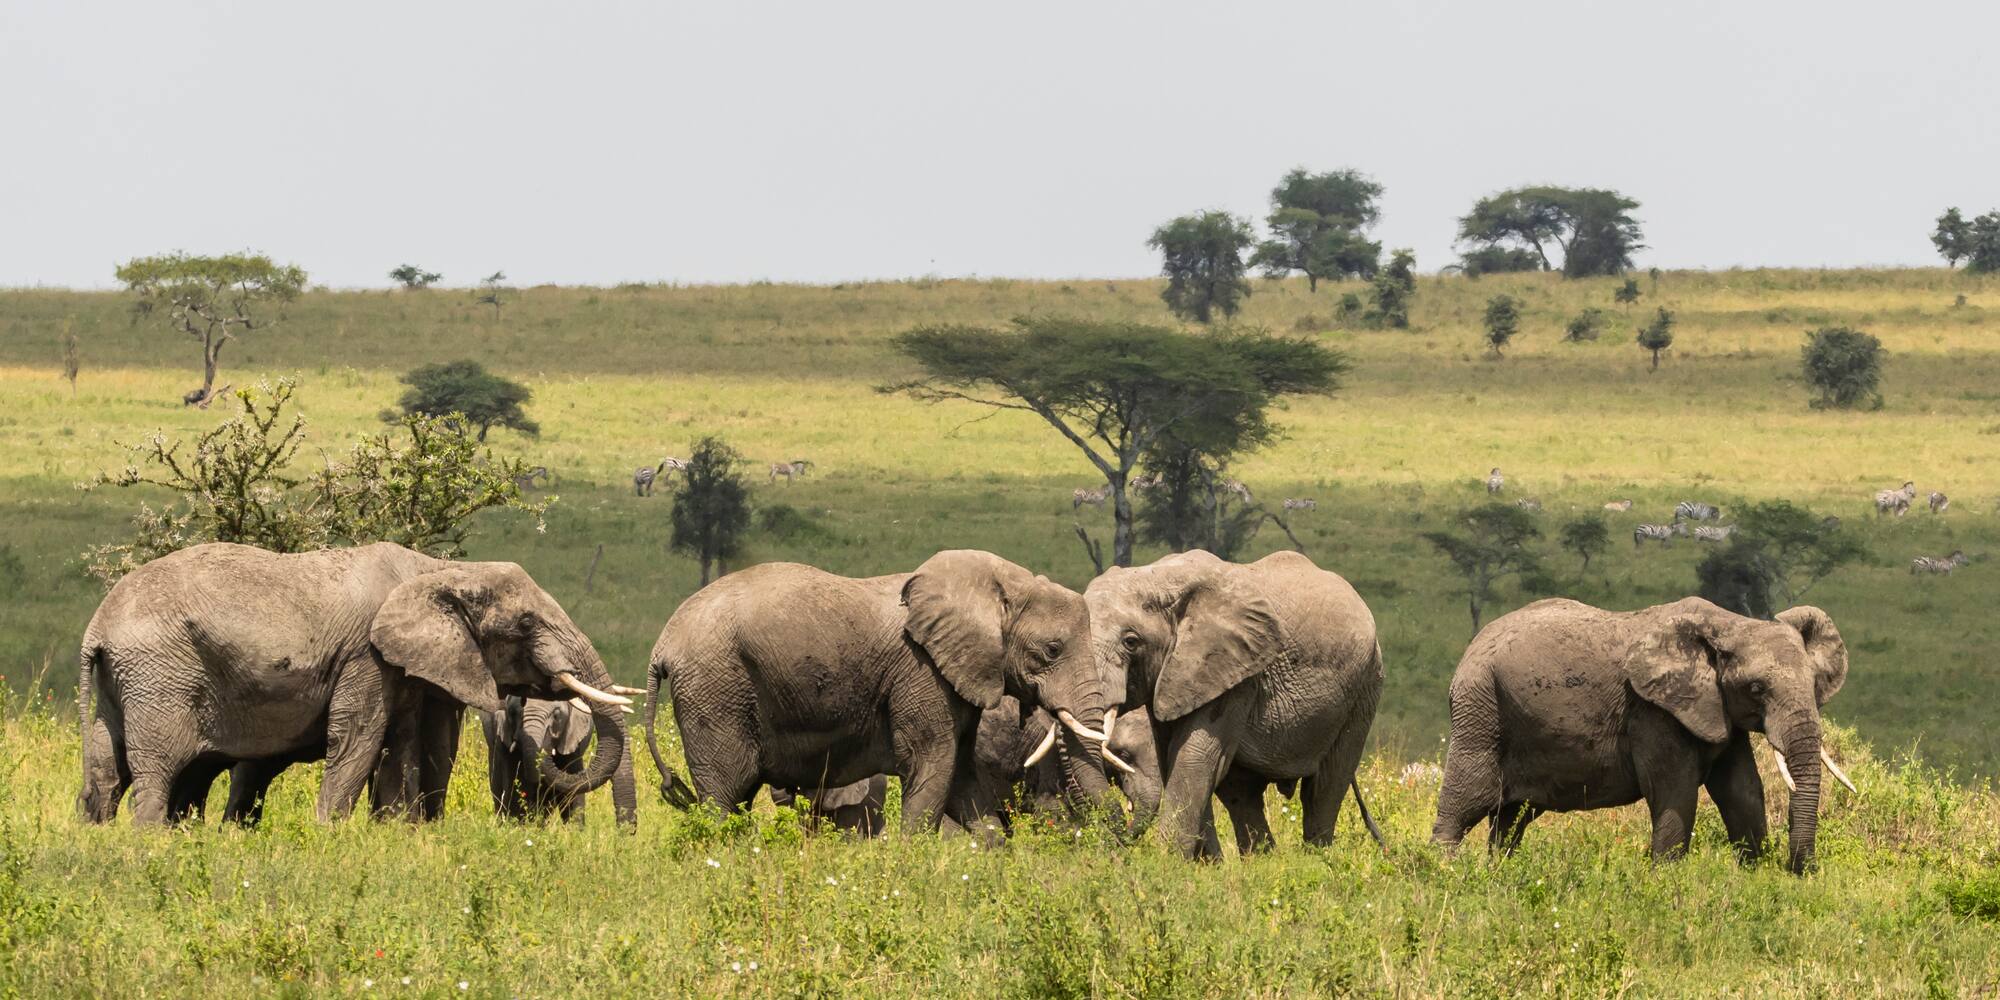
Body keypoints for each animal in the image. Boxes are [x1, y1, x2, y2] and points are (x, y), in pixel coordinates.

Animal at [645, 550, 1115, 832]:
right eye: (1052, 650)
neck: (1001, 584)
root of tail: (662, 645)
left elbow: (962, 779)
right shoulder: (921, 672)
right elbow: (931, 765)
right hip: (714, 689)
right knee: (724, 793)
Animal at [1085, 550, 1385, 858]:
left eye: (1131, 642)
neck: (1157, 577)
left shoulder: (1235, 674)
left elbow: (1193, 757)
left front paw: (1168, 861)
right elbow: (1174, 757)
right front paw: (1202, 863)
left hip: (1364, 689)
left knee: (1324, 787)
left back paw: (1316, 859)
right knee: (1242, 792)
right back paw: (1262, 860)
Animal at [1430, 597, 1849, 873]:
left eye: (1814, 683)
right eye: (1757, 688)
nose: (1802, 869)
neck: (1728, 623)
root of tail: (1470, 650)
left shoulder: (1717, 710)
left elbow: (1742, 791)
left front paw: (1754, 875)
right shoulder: (1652, 710)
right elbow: (1674, 791)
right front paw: (1665, 883)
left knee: (1511, 819)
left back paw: (1499, 876)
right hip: (1480, 707)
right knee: (1467, 800)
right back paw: (1442, 875)